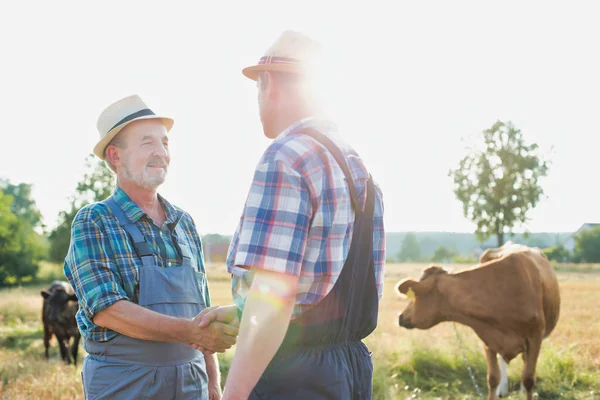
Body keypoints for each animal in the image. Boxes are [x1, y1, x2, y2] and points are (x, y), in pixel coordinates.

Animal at [396, 242, 560, 400]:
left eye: (414, 295)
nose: (400, 316)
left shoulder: (535, 338)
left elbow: (528, 379)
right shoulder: (489, 337)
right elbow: (493, 378)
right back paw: (502, 389)